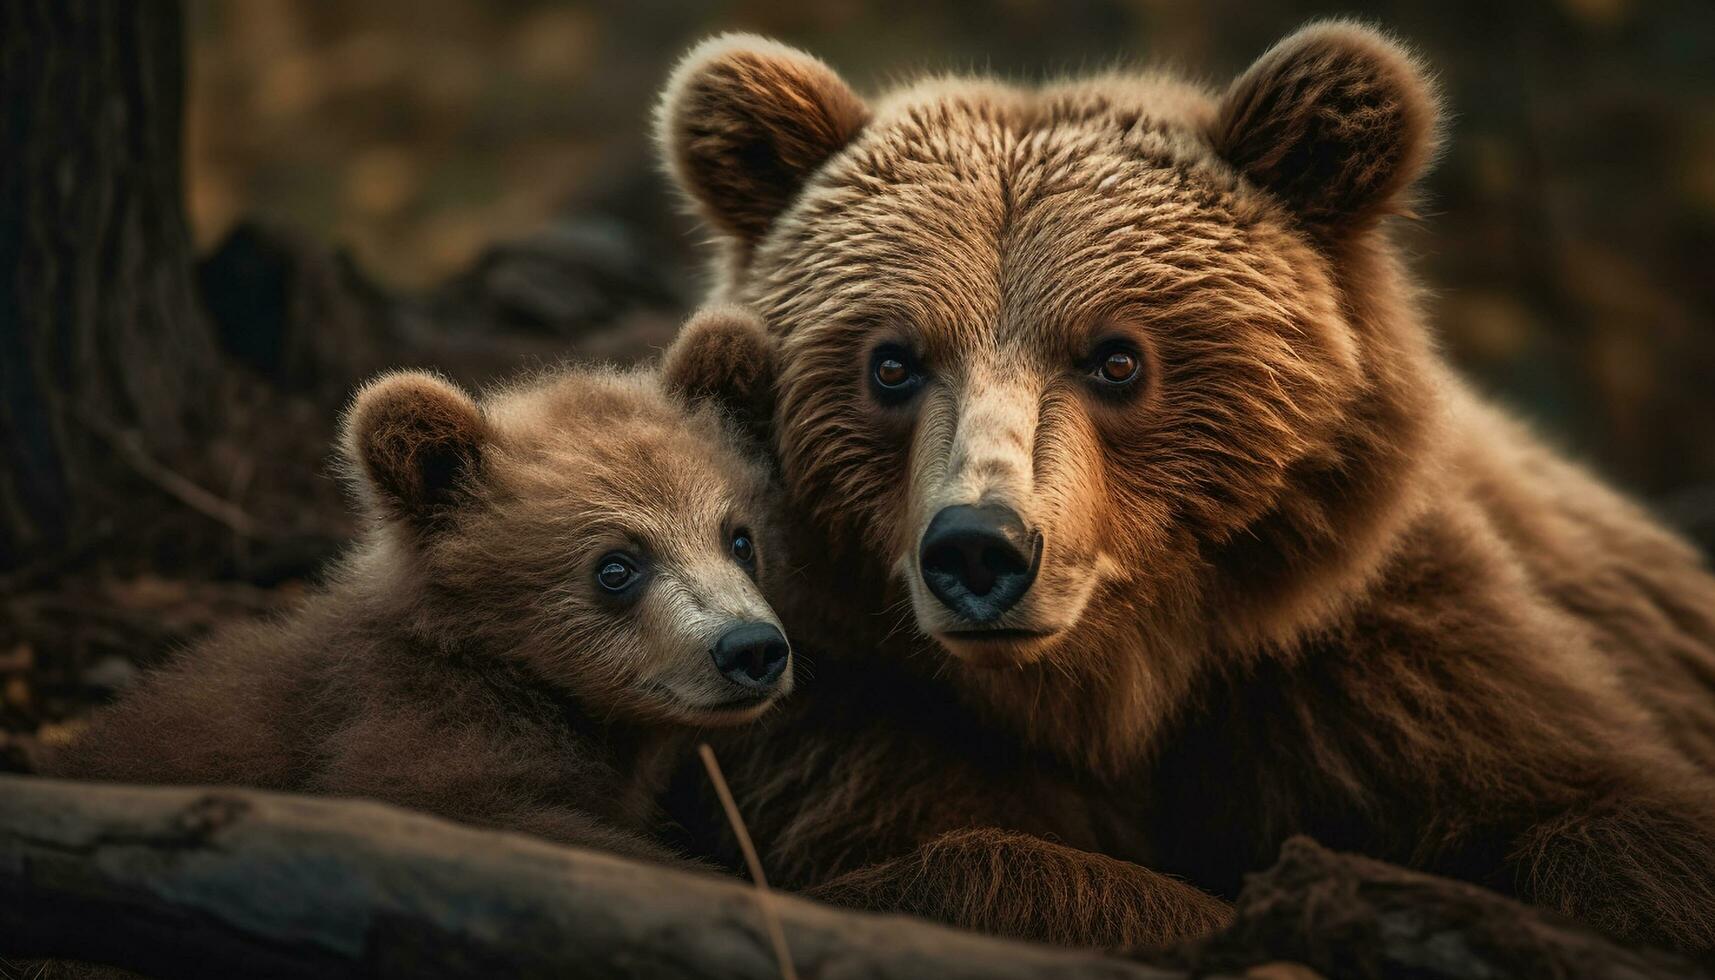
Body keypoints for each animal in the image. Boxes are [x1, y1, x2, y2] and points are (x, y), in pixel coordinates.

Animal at [648, 22, 1715, 954]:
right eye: (893, 363)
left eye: (1117, 358)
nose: (980, 549)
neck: (1118, 684)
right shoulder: (850, 715)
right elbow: (954, 852)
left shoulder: (1385, 669)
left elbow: (1612, 823)